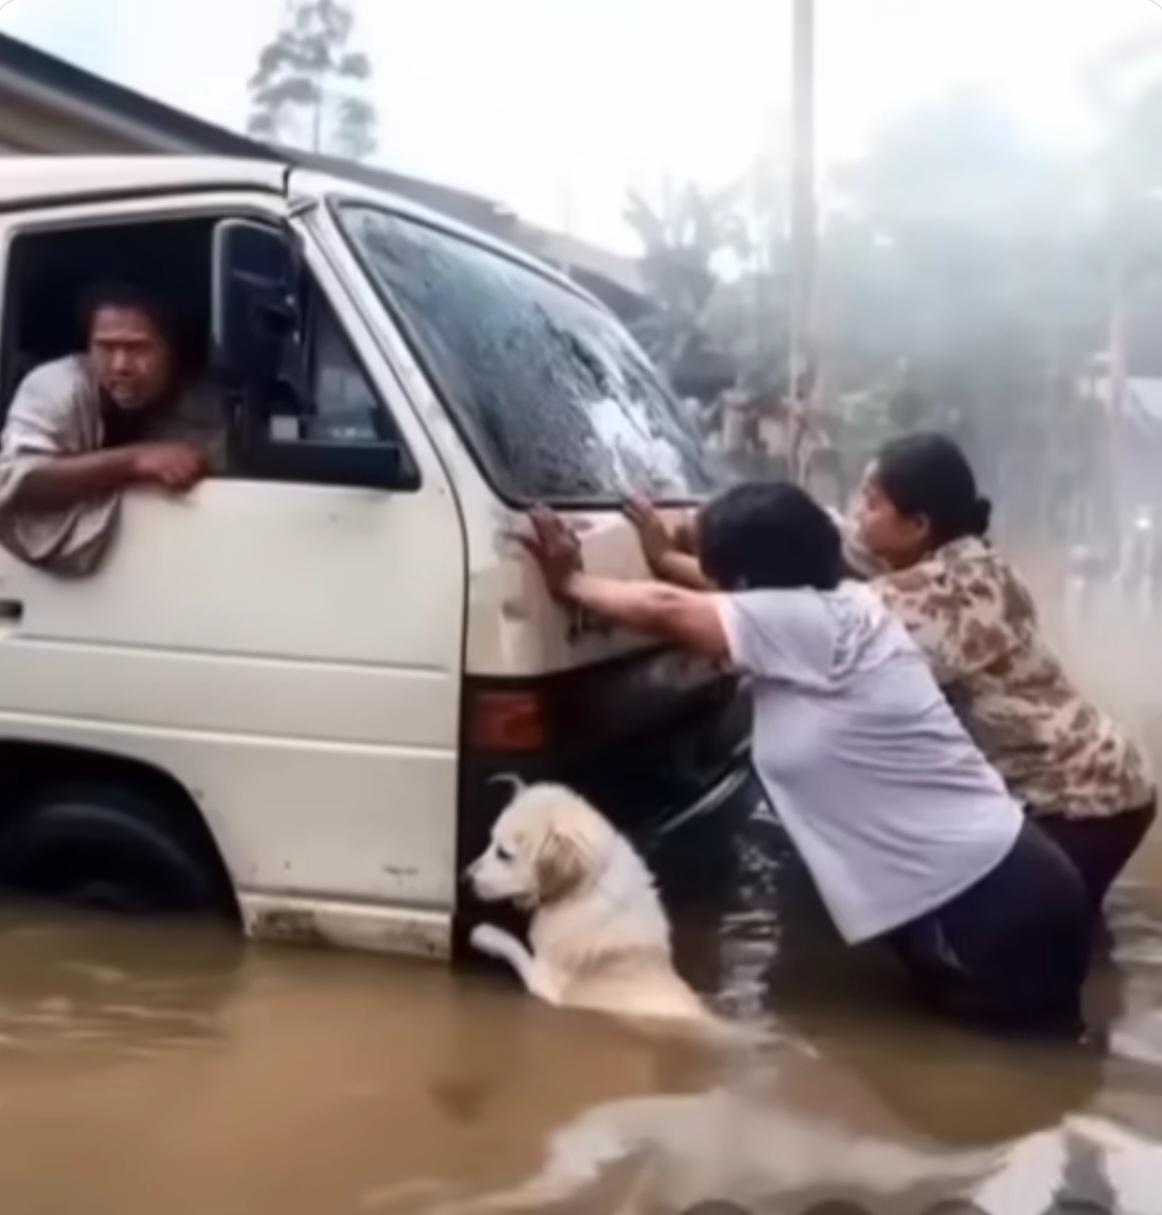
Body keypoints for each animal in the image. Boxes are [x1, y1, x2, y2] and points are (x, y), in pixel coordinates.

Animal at [466, 777, 714, 1025]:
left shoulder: (545, 983)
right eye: (491, 842)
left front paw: (484, 934)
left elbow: (513, 946)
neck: (589, 887)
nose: (465, 877)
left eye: (503, 854)